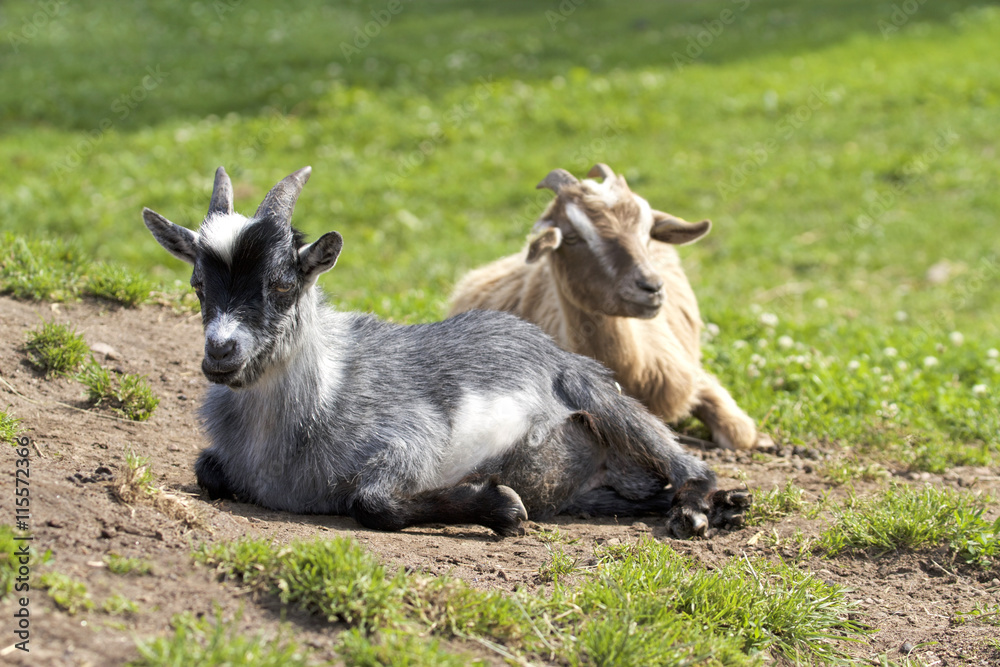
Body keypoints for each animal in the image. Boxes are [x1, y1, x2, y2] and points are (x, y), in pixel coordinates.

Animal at [449, 164, 768, 450]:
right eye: (572, 236)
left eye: (647, 233)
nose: (651, 287)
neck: (635, 373)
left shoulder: (691, 375)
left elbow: (739, 435)